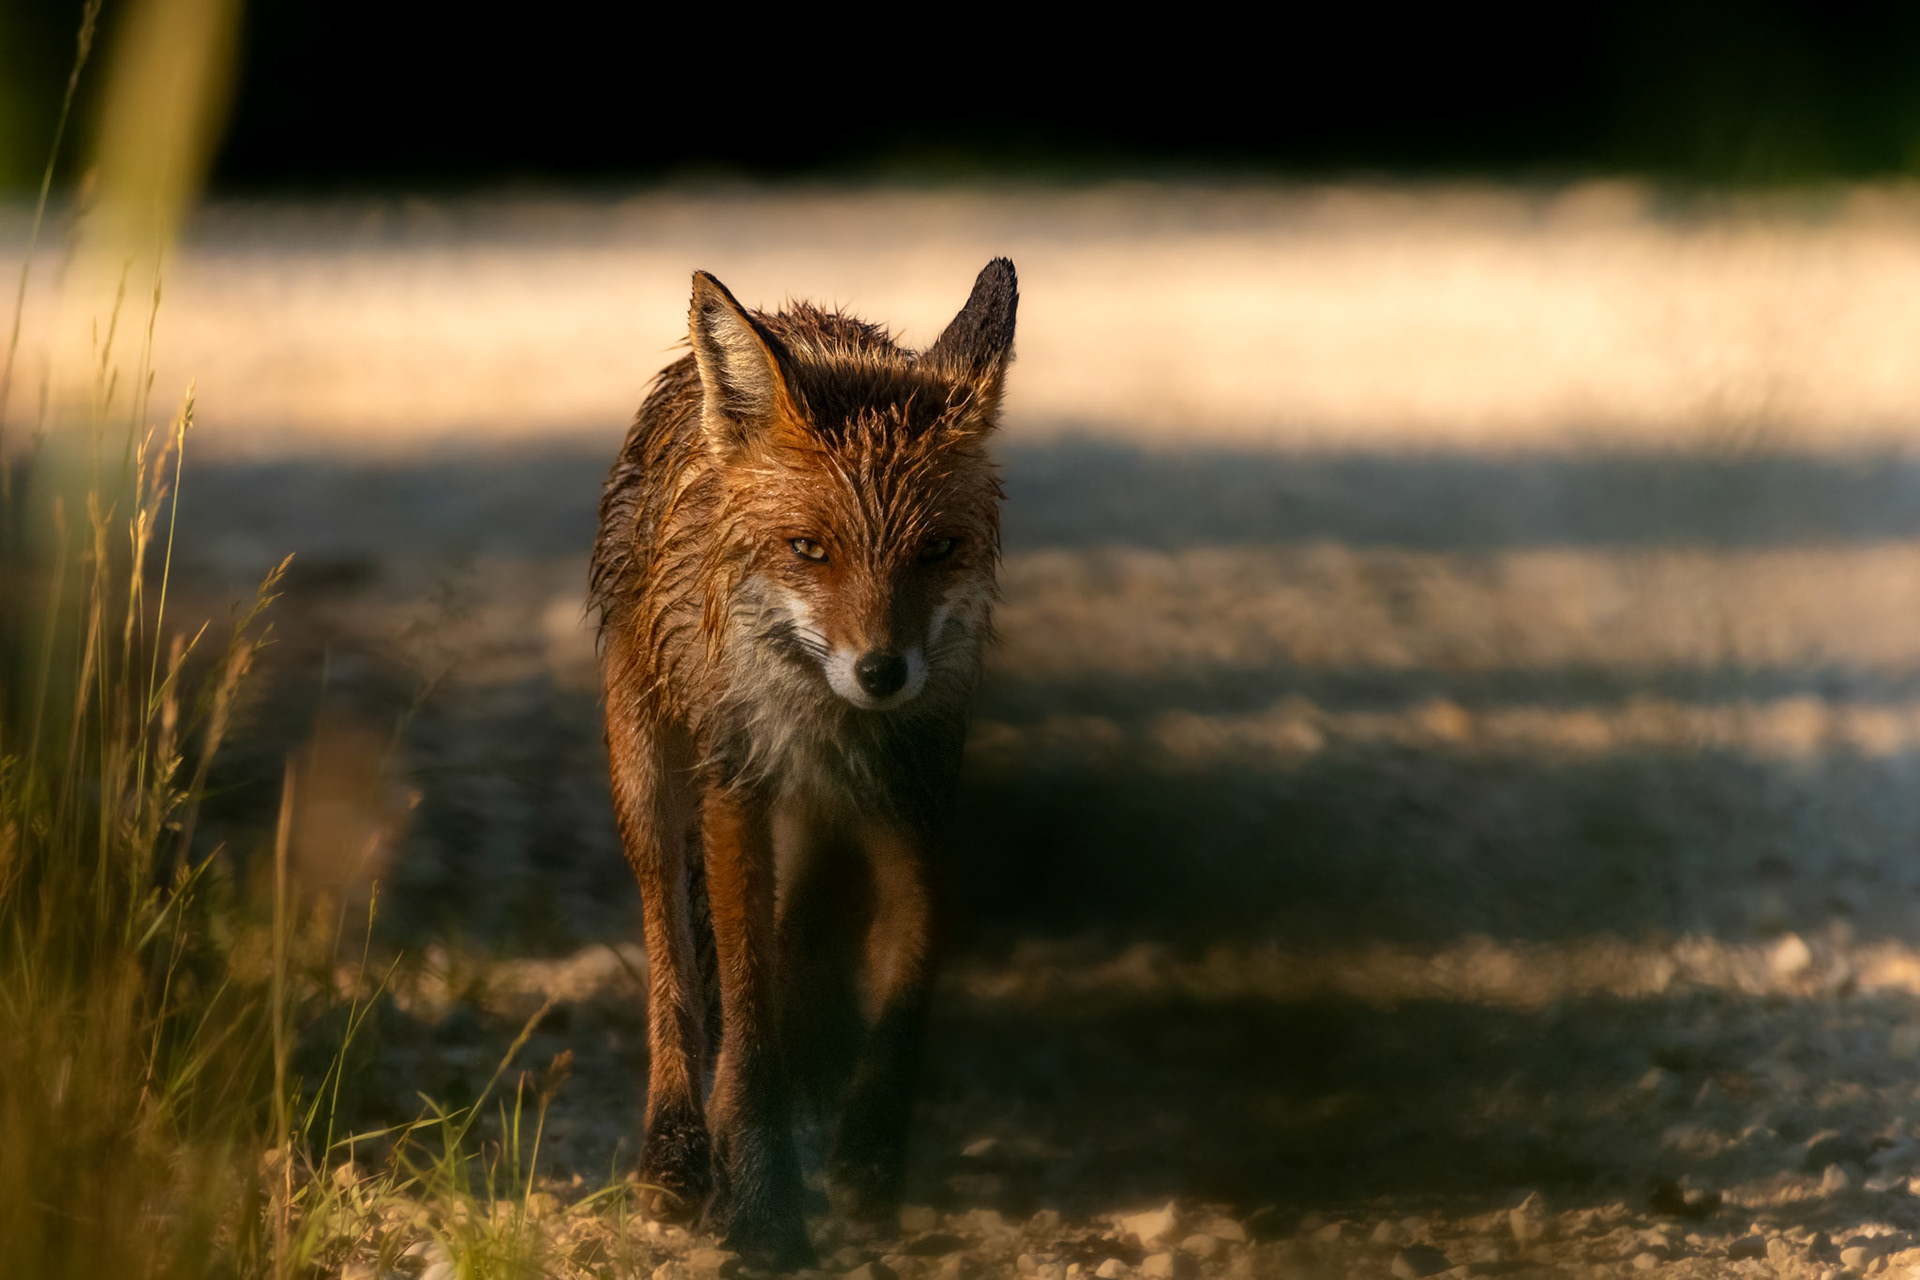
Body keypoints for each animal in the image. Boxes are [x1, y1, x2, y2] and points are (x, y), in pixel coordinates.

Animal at [589, 260, 1017, 1269]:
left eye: (937, 550)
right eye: (809, 549)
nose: (882, 672)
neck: (829, 727)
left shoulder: (916, 787)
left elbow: (912, 958)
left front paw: (869, 1150)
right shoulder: (733, 790)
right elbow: (743, 1012)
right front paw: (761, 1206)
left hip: (824, 817)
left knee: (806, 938)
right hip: (650, 778)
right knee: (673, 959)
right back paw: (677, 1146)